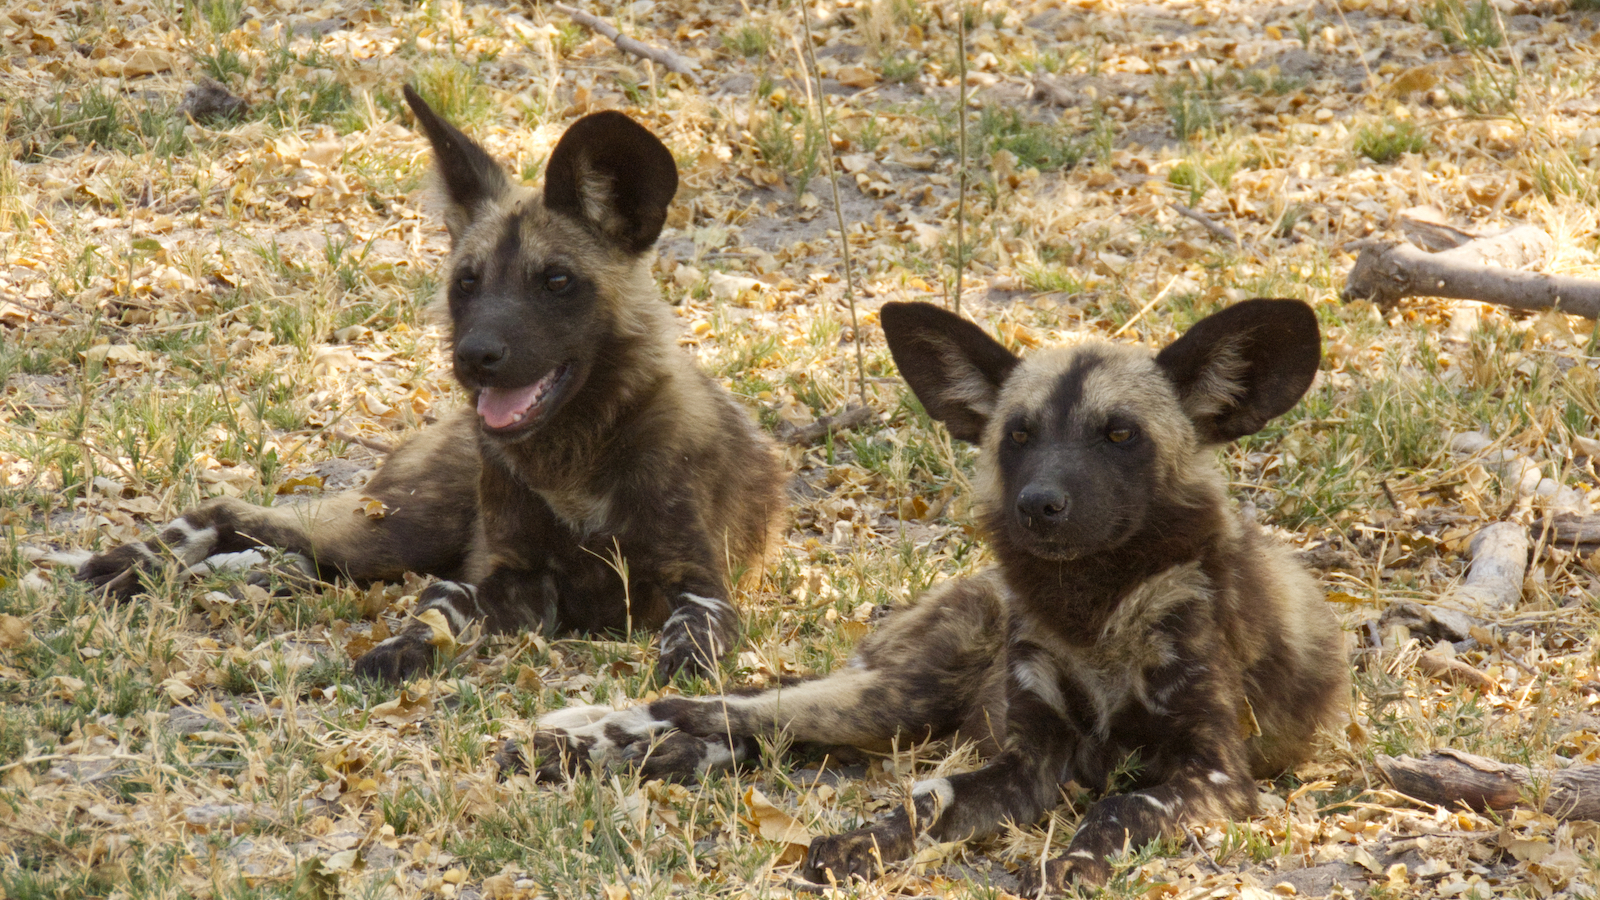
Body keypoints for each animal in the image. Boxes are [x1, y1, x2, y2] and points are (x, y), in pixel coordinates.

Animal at [75, 89, 787, 679]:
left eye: (557, 281)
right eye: (466, 283)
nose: (474, 357)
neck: (575, 460)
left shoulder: (698, 586)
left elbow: (692, 635)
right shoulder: (511, 579)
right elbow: (439, 609)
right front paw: (404, 647)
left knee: (290, 550)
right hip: (398, 531)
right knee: (232, 511)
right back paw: (136, 565)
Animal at [518, 296, 1344, 890]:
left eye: (1120, 435)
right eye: (1018, 435)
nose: (1039, 504)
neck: (1093, 610)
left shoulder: (1210, 772)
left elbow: (1119, 803)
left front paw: (1072, 863)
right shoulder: (1028, 758)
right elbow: (926, 801)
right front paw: (864, 843)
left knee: (743, 729)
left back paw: (638, 755)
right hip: (890, 699)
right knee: (712, 702)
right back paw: (575, 743)